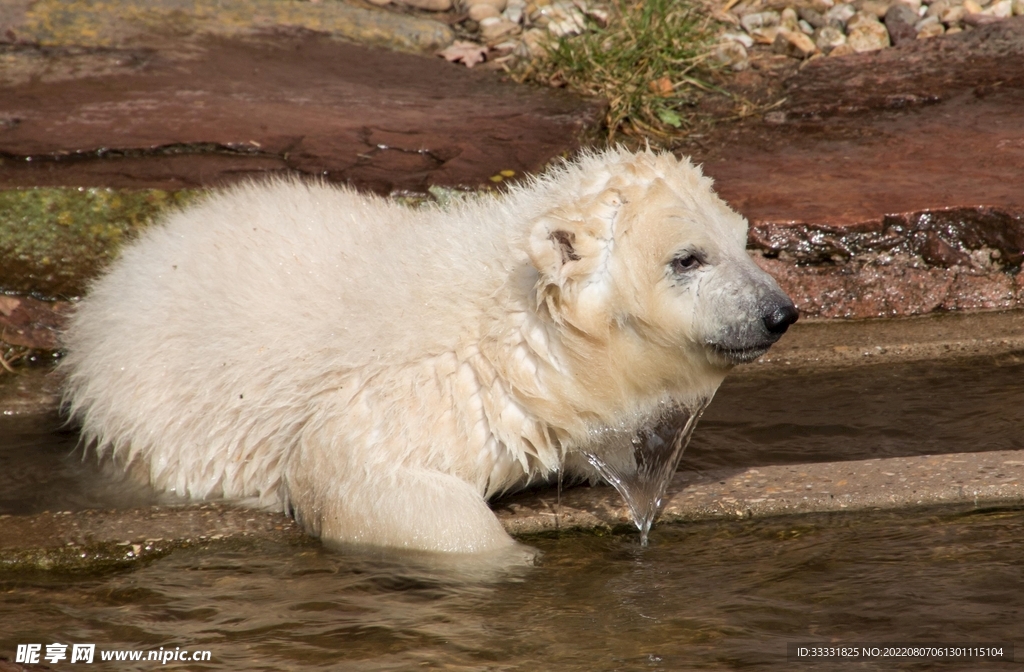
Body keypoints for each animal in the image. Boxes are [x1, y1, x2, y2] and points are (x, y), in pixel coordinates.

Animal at [61, 149, 798, 553]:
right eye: (687, 257)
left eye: (743, 241)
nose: (779, 314)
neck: (513, 323)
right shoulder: (423, 391)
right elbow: (364, 479)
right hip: (149, 404)